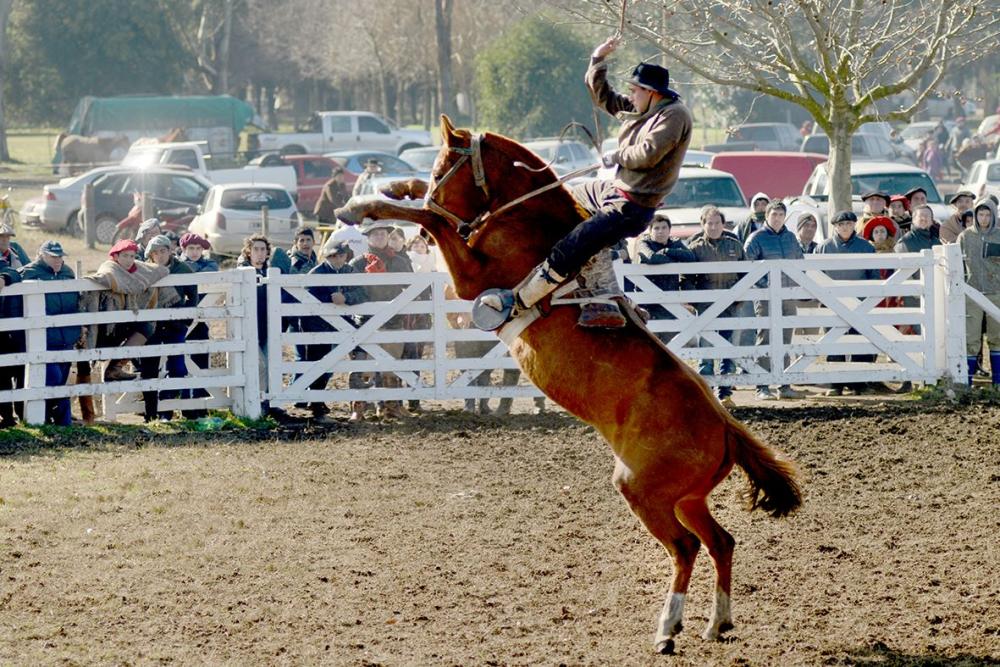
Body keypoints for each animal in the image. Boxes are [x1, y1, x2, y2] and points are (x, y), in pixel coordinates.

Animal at [338, 116, 804, 656]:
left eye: (442, 171)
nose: (431, 189)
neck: (531, 220)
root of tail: (726, 427)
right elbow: (430, 215)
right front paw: (389, 188)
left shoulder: (472, 280)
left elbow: (434, 223)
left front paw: (367, 206)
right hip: (688, 498)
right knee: (720, 541)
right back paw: (718, 622)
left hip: (645, 493)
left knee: (686, 547)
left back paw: (668, 629)